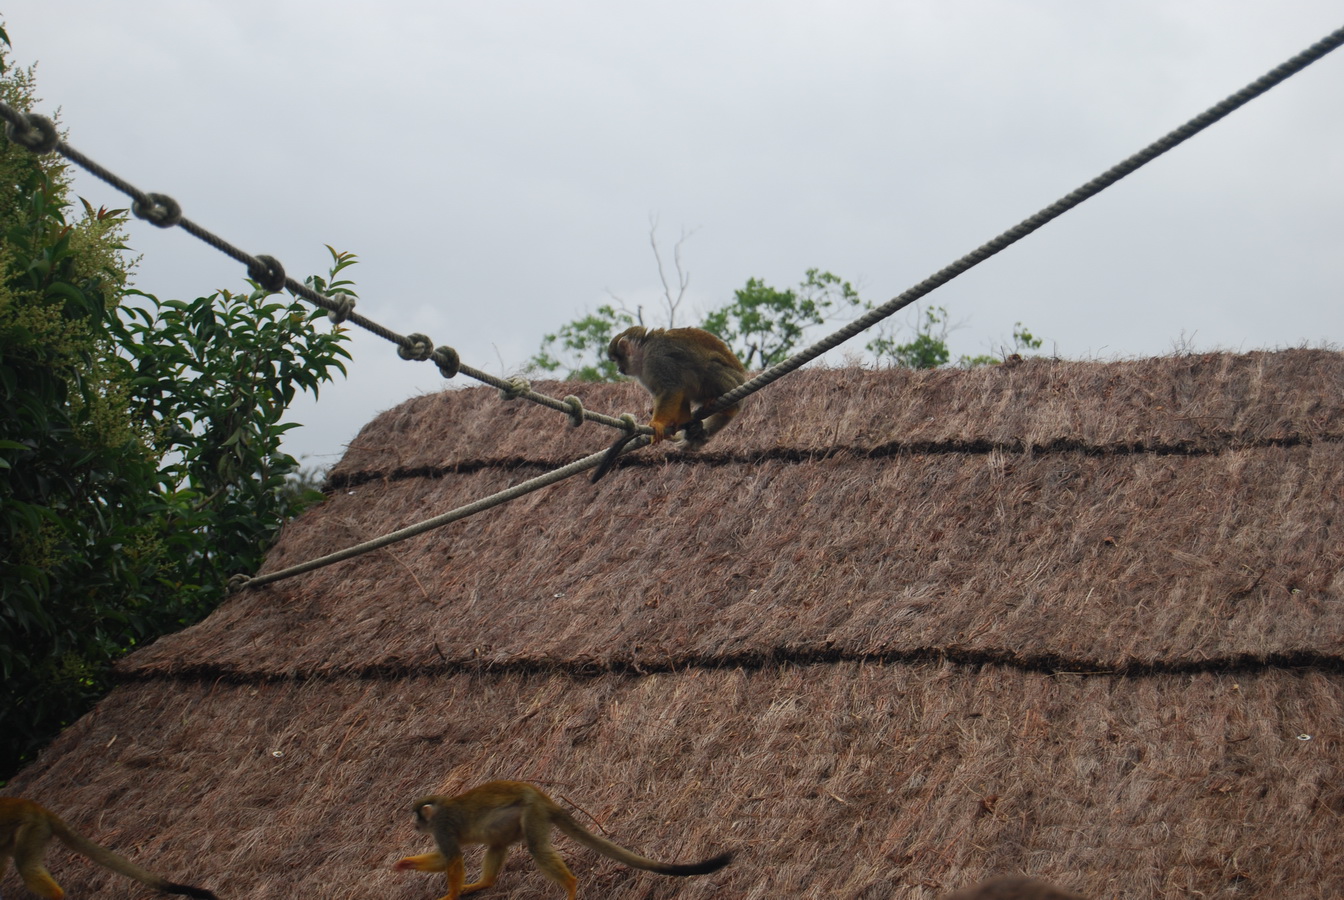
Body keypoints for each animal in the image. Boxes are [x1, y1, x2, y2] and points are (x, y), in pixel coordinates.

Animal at [392, 784, 736, 900]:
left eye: (417, 817)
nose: (413, 824)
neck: (437, 812)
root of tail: (542, 796)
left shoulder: (442, 825)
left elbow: (453, 858)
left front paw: (449, 896)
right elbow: (446, 858)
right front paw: (404, 863)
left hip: (532, 812)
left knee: (535, 847)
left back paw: (570, 885)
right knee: (498, 844)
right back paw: (484, 884)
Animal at [594, 327, 752, 483]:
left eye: (617, 360)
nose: (619, 369)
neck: (643, 352)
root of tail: (742, 379)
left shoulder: (657, 359)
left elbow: (671, 388)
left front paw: (657, 423)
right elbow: (673, 390)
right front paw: (676, 422)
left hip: (732, 382)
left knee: (707, 366)